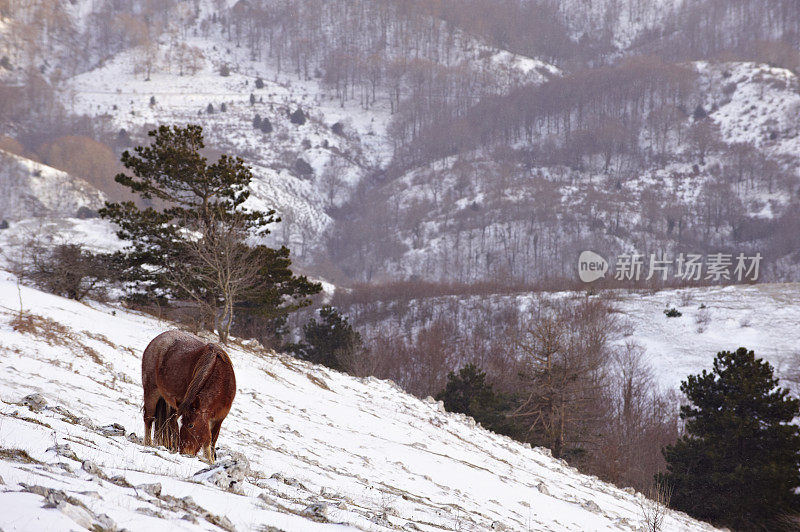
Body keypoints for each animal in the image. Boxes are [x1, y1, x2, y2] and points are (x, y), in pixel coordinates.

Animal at [141, 330, 236, 464]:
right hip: (151, 391)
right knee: (149, 418)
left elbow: (211, 440)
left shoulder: (219, 418)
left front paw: (210, 460)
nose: (185, 452)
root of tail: (157, 339)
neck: (222, 380)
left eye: (191, 425)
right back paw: (149, 443)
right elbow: (208, 439)